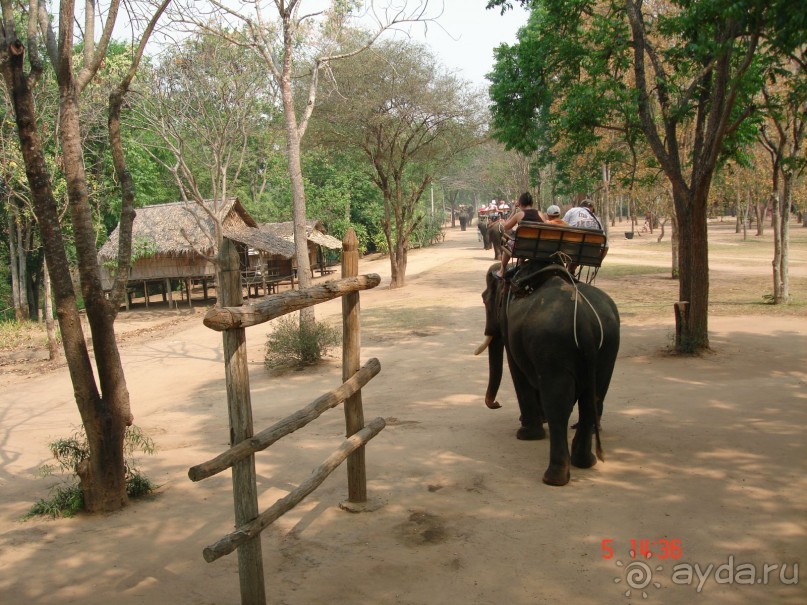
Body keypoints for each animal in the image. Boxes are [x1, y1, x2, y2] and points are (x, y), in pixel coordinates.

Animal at [476, 260, 620, 486]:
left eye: (484, 299)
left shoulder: (511, 331)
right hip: (608, 347)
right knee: (593, 400)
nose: (497, 404)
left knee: (559, 406)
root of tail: (585, 321)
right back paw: (585, 461)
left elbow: (518, 372)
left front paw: (526, 433)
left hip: (553, 345)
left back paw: (554, 477)